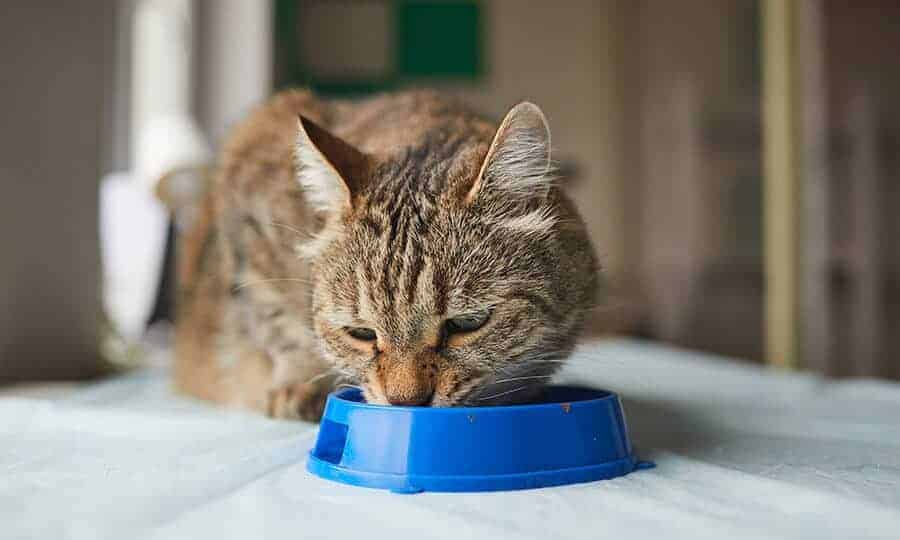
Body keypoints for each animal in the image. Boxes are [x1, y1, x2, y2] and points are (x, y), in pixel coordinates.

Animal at [173, 88, 600, 420]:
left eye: (467, 323)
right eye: (361, 333)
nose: (405, 401)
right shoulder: (247, 207)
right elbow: (274, 316)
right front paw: (301, 380)